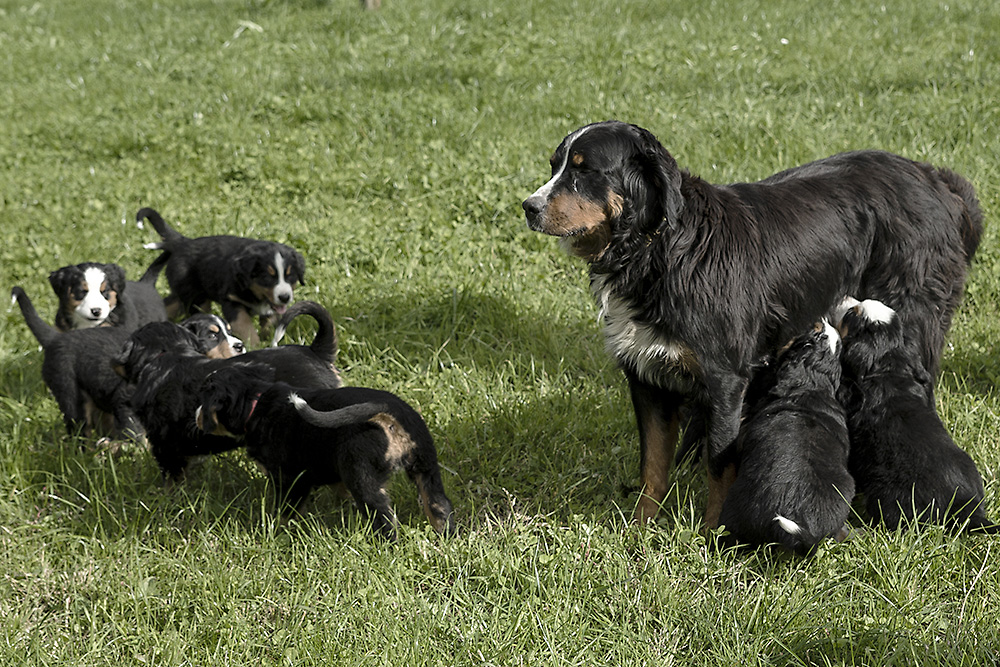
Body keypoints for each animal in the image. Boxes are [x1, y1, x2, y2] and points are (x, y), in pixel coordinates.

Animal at [138, 207, 304, 344]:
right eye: (268, 277)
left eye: (290, 276)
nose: (285, 297)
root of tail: (184, 243)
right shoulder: (231, 300)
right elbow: (244, 325)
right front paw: (254, 344)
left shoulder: (271, 308)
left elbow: (270, 323)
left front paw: (266, 339)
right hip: (196, 297)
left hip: (184, 294)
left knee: (169, 304)